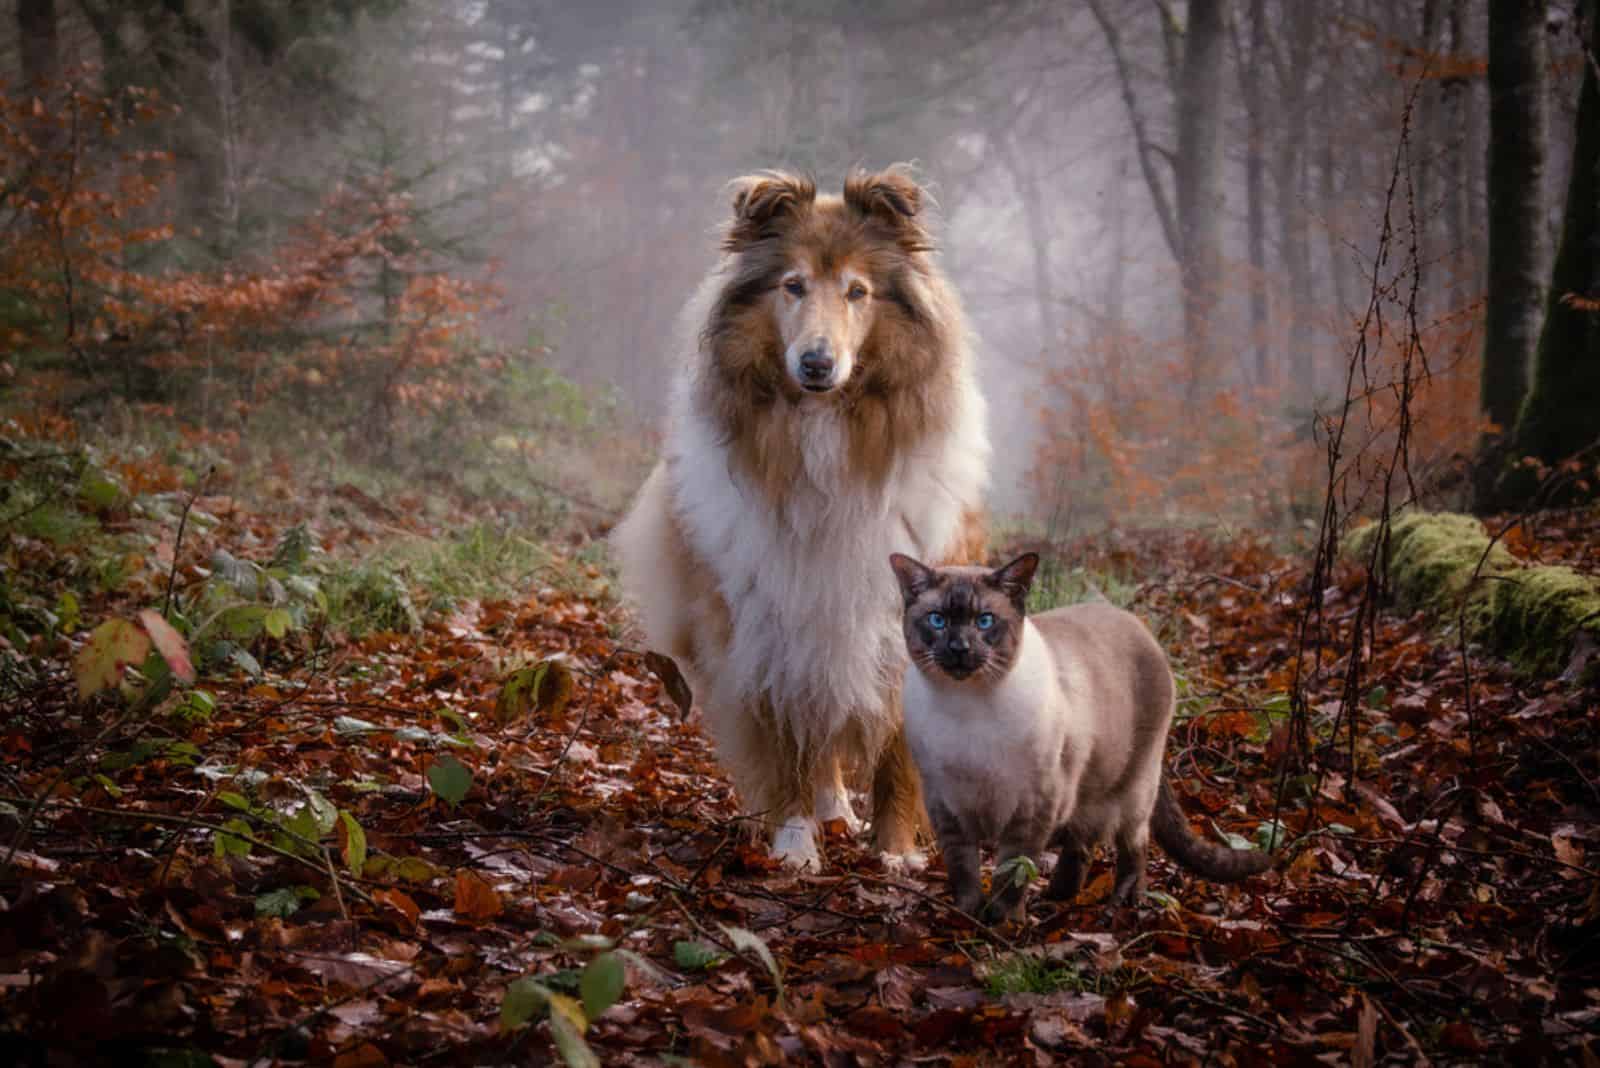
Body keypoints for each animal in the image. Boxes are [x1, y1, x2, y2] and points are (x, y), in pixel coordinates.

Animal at [611, 164, 985, 869]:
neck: (825, 432)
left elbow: (898, 752)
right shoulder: (765, 621)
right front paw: (793, 845)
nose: (816, 364)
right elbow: (784, 743)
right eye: (793, 285)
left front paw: (896, 853)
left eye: (858, 291)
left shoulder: (903, 615)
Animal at [889, 549, 1273, 920]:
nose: (959, 648)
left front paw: (1002, 922)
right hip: (1090, 791)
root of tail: (1132, 620)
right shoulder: (945, 808)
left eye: (985, 621)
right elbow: (964, 871)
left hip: (1132, 787)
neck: (966, 707)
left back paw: (1127, 900)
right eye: (937, 620)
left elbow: (1011, 873)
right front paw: (966, 918)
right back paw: (1058, 895)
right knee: (1084, 843)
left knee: (1134, 843)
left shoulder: (1032, 808)